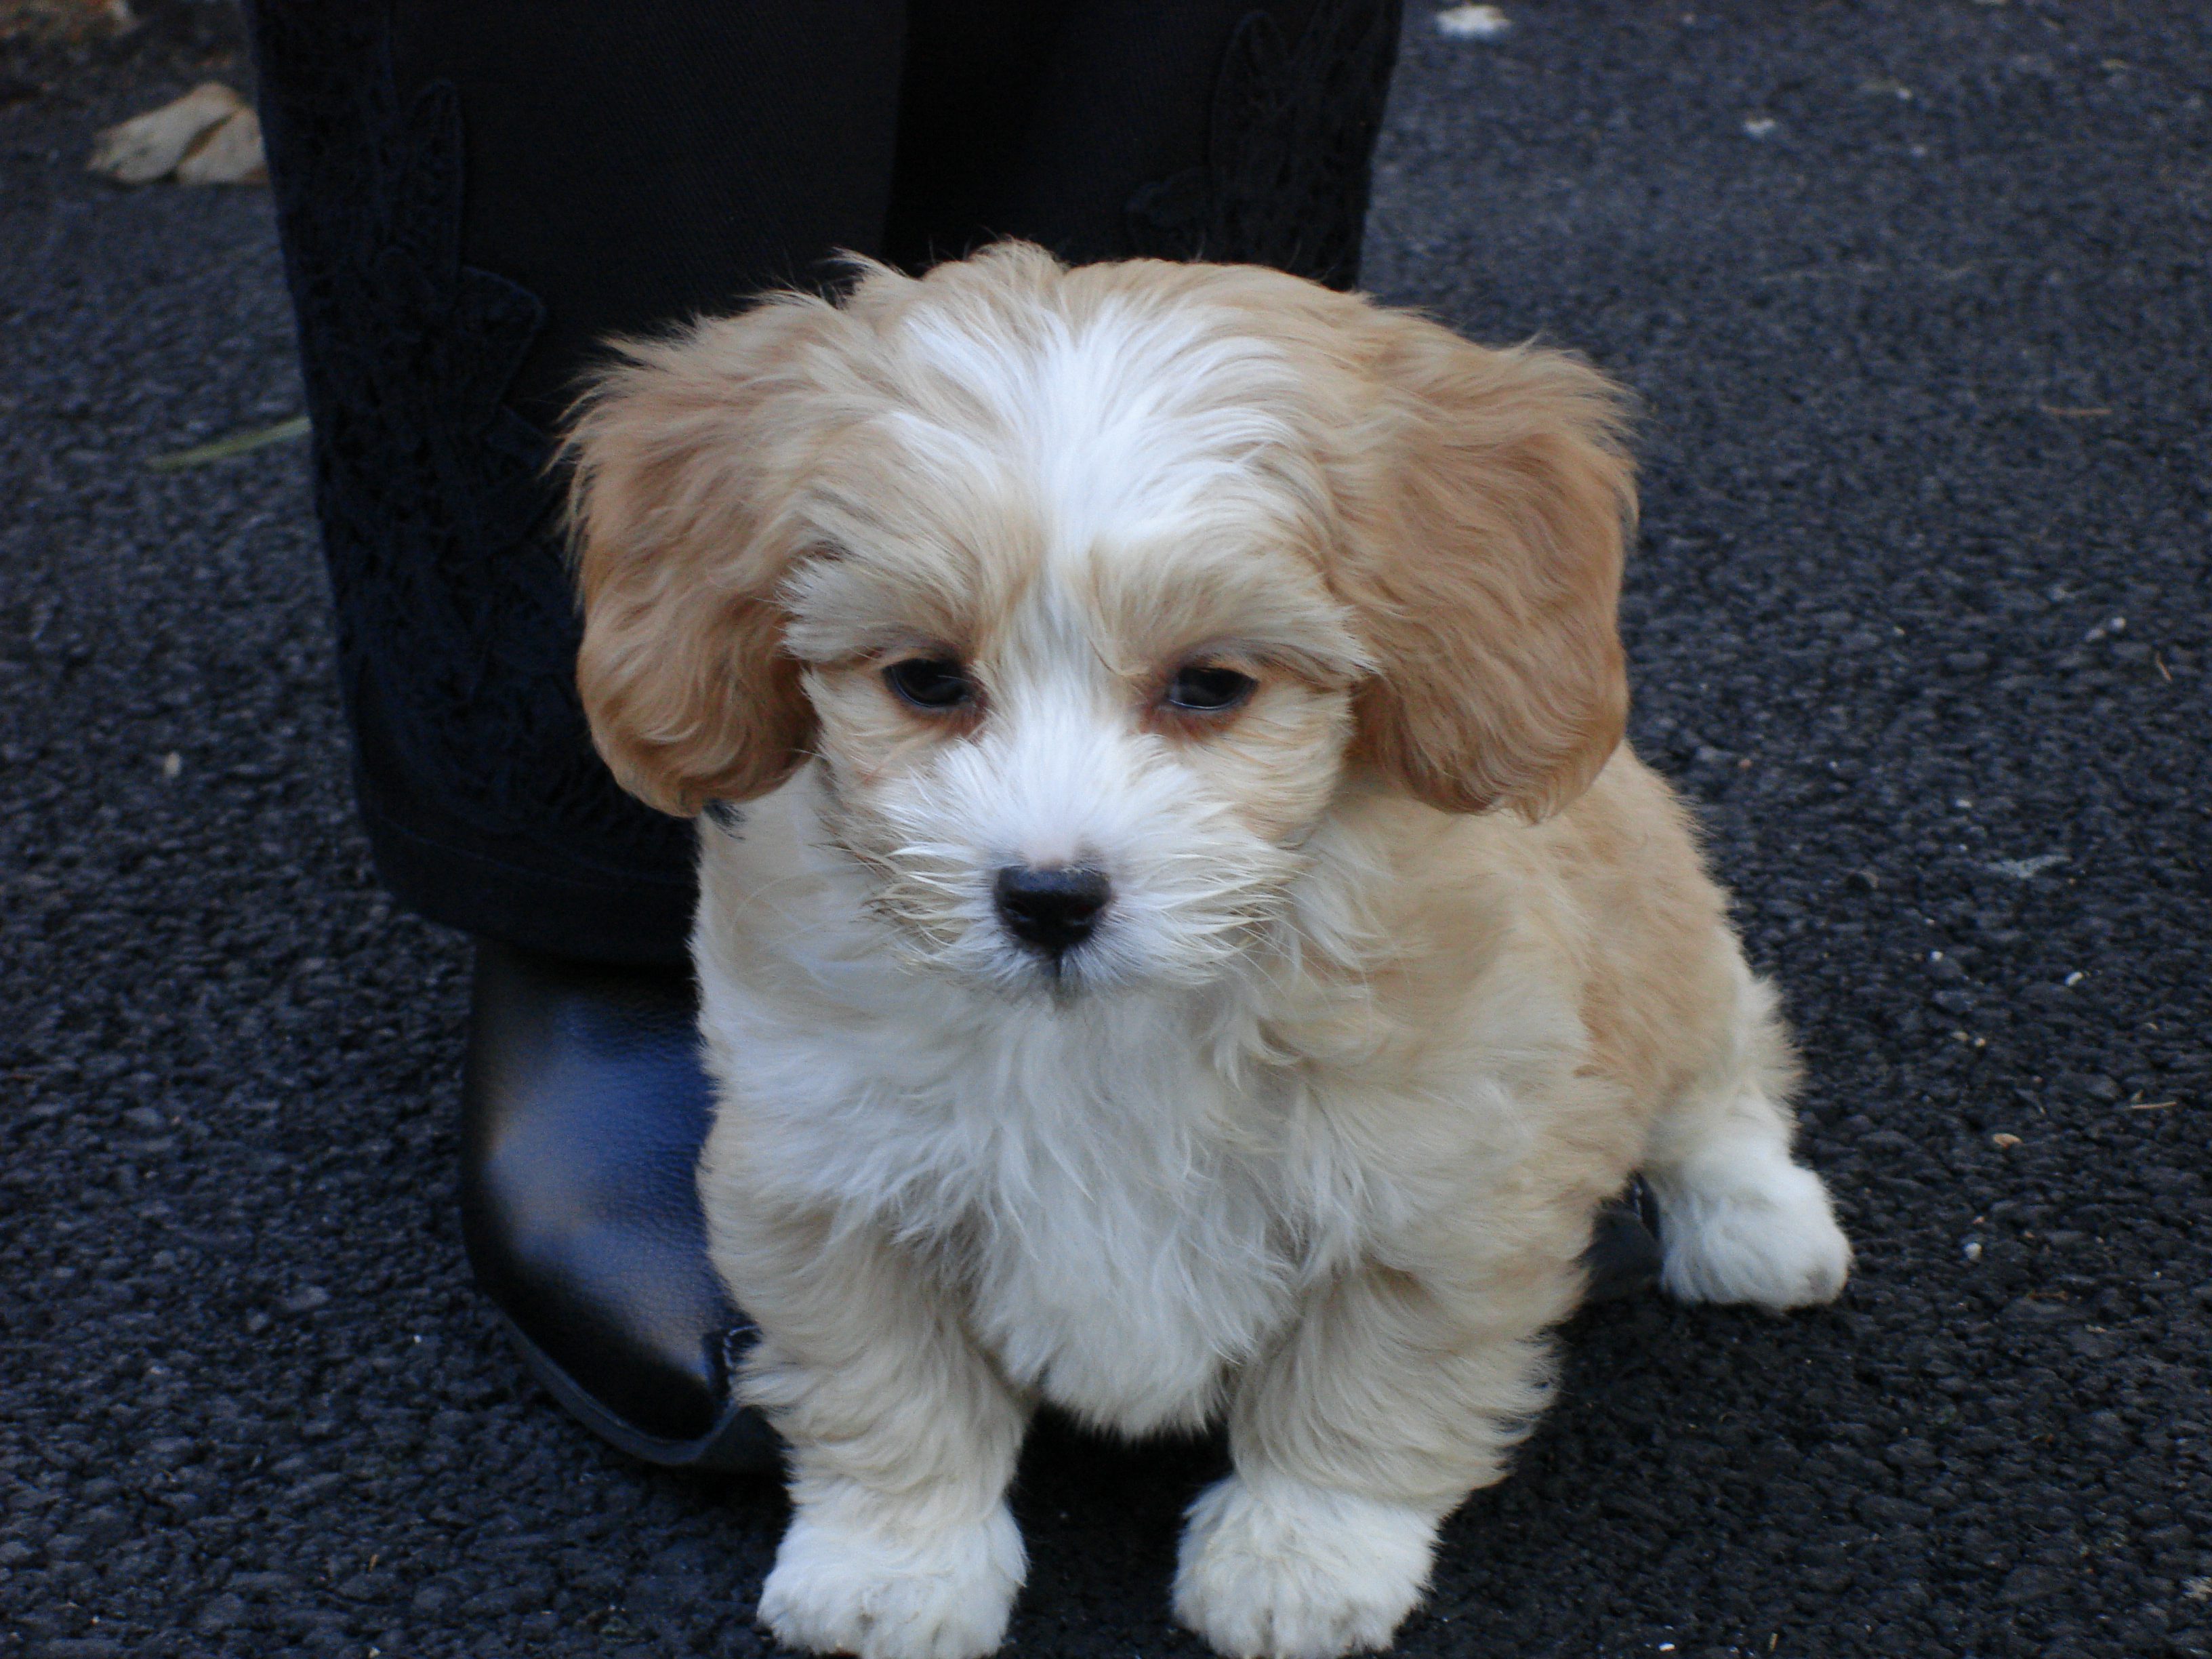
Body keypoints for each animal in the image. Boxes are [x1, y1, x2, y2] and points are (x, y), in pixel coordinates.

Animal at [566, 243, 1849, 1659]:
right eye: (925, 679)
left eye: (1209, 686)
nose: (1048, 897)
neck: (1113, 1023)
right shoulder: (827, 1172)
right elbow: (885, 1379)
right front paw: (894, 1561)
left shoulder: (1444, 1182)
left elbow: (1369, 1382)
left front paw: (1302, 1551)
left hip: (1659, 925)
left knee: (1720, 1070)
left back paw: (1755, 1217)